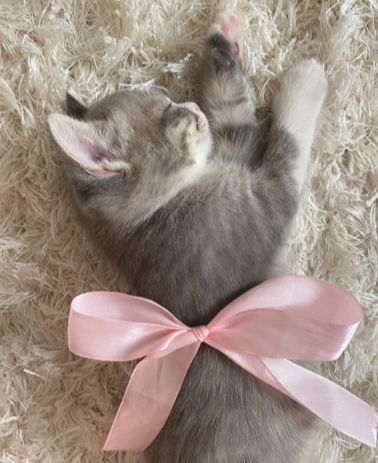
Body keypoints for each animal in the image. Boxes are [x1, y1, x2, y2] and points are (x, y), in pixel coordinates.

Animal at [49, 12, 328, 463]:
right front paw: (306, 79)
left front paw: (224, 40)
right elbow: (286, 145)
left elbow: (233, 113)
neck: (152, 216)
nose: (192, 106)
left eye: (169, 98)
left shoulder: (231, 149)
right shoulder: (261, 202)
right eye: (167, 110)